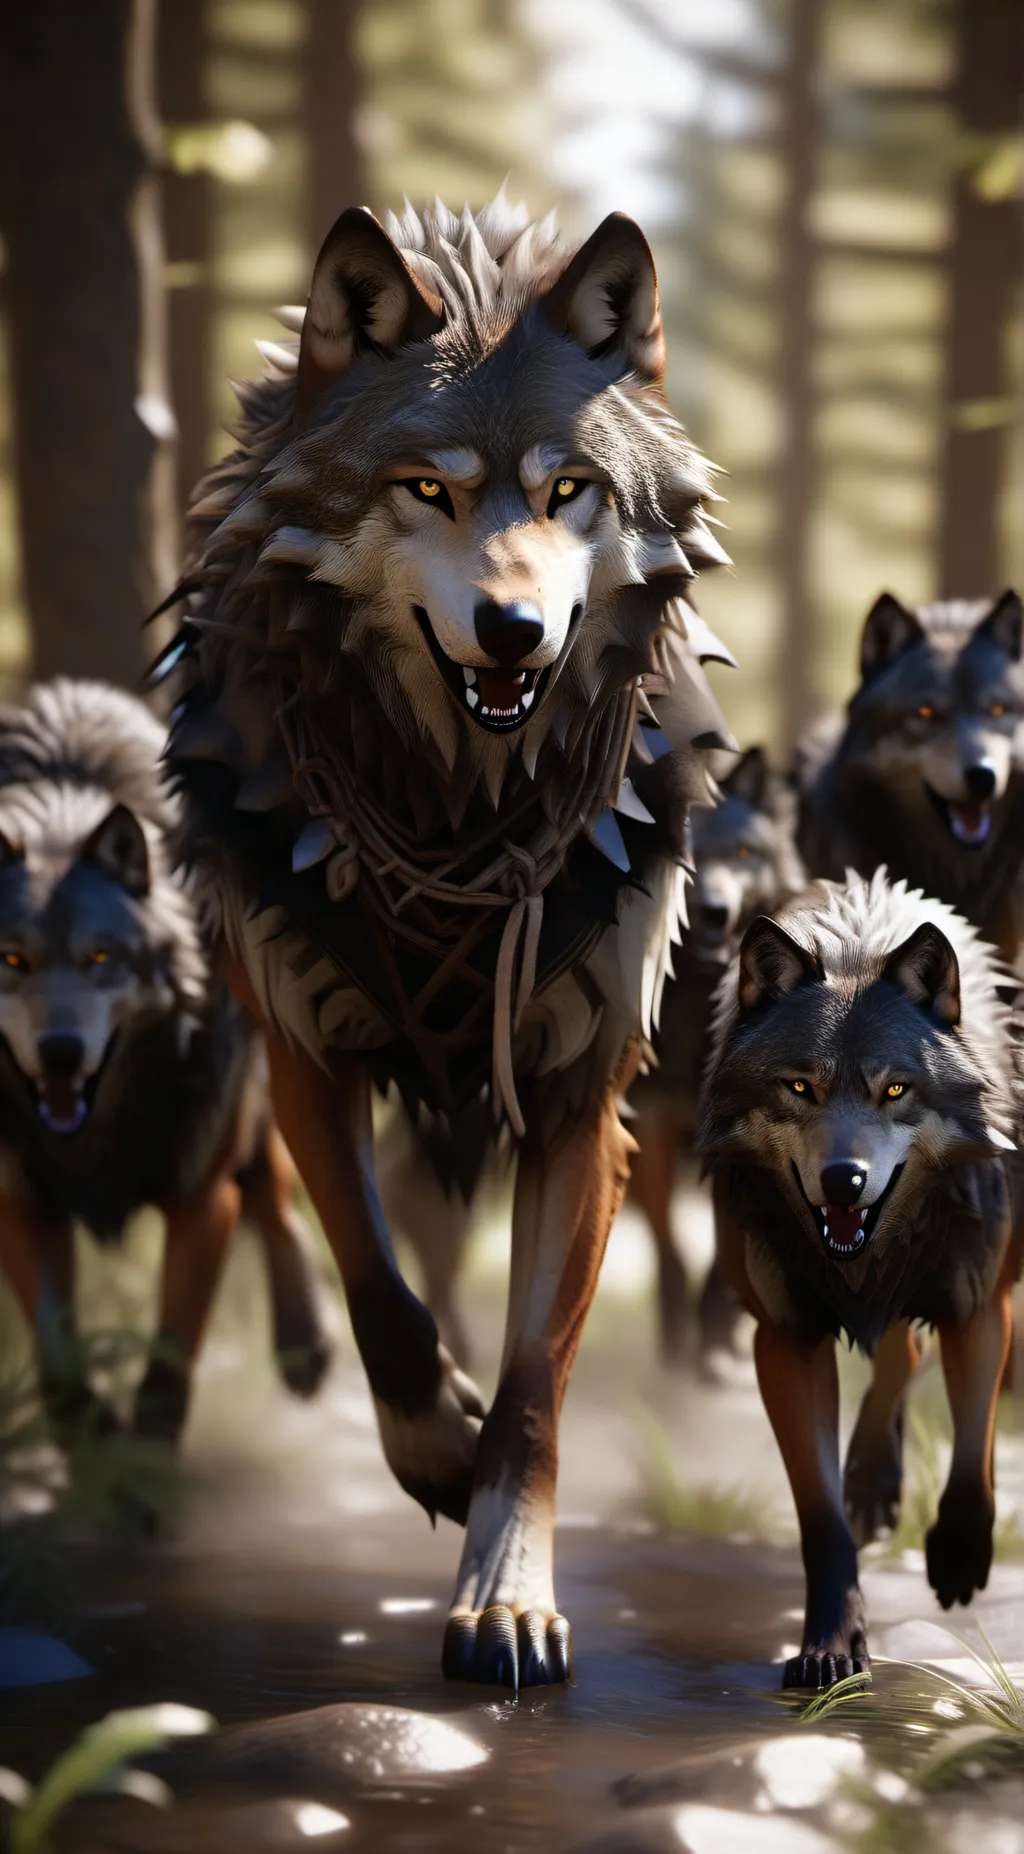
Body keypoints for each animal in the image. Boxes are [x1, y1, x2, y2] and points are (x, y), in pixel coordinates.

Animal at [0, 680, 331, 1463]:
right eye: (12, 959)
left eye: (101, 957)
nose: (60, 1052)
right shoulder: (21, 1203)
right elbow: (58, 1356)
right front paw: (92, 1448)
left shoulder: (200, 1197)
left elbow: (170, 1360)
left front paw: (145, 1467)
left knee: (274, 1191)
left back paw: (306, 1345)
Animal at [161, 194, 735, 1687]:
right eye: (428, 490)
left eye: (568, 492)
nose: (514, 629)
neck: (456, 817)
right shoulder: (311, 1051)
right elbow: (379, 1294)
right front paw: (428, 1444)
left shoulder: (579, 1100)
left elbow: (535, 1388)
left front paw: (508, 1593)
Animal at [629, 746, 805, 1363]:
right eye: (685, 857)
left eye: (743, 854)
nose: (713, 910)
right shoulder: (650, 1120)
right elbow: (667, 1245)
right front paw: (677, 1339)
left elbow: (725, 1253)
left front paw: (714, 1335)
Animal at [698, 870, 1021, 1689]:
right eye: (799, 1088)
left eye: (896, 1091)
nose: (843, 1181)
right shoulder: (784, 1340)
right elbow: (821, 1521)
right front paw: (830, 1645)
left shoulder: (979, 1308)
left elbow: (971, 1455)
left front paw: (960, 1554)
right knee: (900, 1356)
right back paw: (873, 1484)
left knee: (916, 1365)